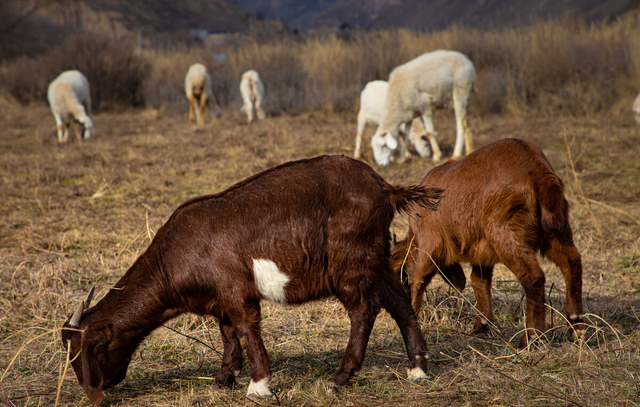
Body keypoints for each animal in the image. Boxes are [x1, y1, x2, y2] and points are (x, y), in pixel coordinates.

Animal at [61, 155, 440, 404]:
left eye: (86, 350)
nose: (93, 393)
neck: (171, 259)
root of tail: (384, 187)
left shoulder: (235, 288)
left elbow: (246, 328)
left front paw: (258, 385)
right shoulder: (219, 298)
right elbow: (228, 334)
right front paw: (222, 380)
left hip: (350, 258)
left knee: (363, 309)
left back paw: (340, 378)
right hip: (374, 254)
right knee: (399, 298)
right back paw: (418, 368)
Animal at [390, 139, 584, 348]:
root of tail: (539, 172)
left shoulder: (429, 245)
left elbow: (419, 280)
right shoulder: (481, 253)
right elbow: (479, 279)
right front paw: (482, 323)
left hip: (504, 232)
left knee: (533, 277)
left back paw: (531, 337)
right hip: (557, 231)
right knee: (572, 261)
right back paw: (576, 326)